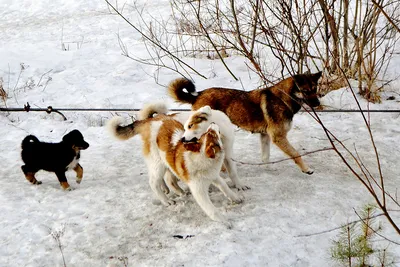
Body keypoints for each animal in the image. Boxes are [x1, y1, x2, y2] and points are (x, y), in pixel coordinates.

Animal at [107, 111, 244, 226]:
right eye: (211, 134)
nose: (213, 123)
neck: (202, 157)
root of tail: (150, 120)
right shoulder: (199, 190)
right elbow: (211, 209)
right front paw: (223, 220)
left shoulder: (214, 176)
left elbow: (225, 187)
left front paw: (235, 197)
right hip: (158, 165)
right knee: (154, 183)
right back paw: (166, 200)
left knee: (168, 179)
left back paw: (180, 192)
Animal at [168, 72, 322, 175]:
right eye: (305, 91)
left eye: (315, 88)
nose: (317, 103)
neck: (283, 98)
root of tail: (198, 94)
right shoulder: (278, 137)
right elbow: (296, 154)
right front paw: (307, 169)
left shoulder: (265, 136)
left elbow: (265, 157)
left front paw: (269, 168)